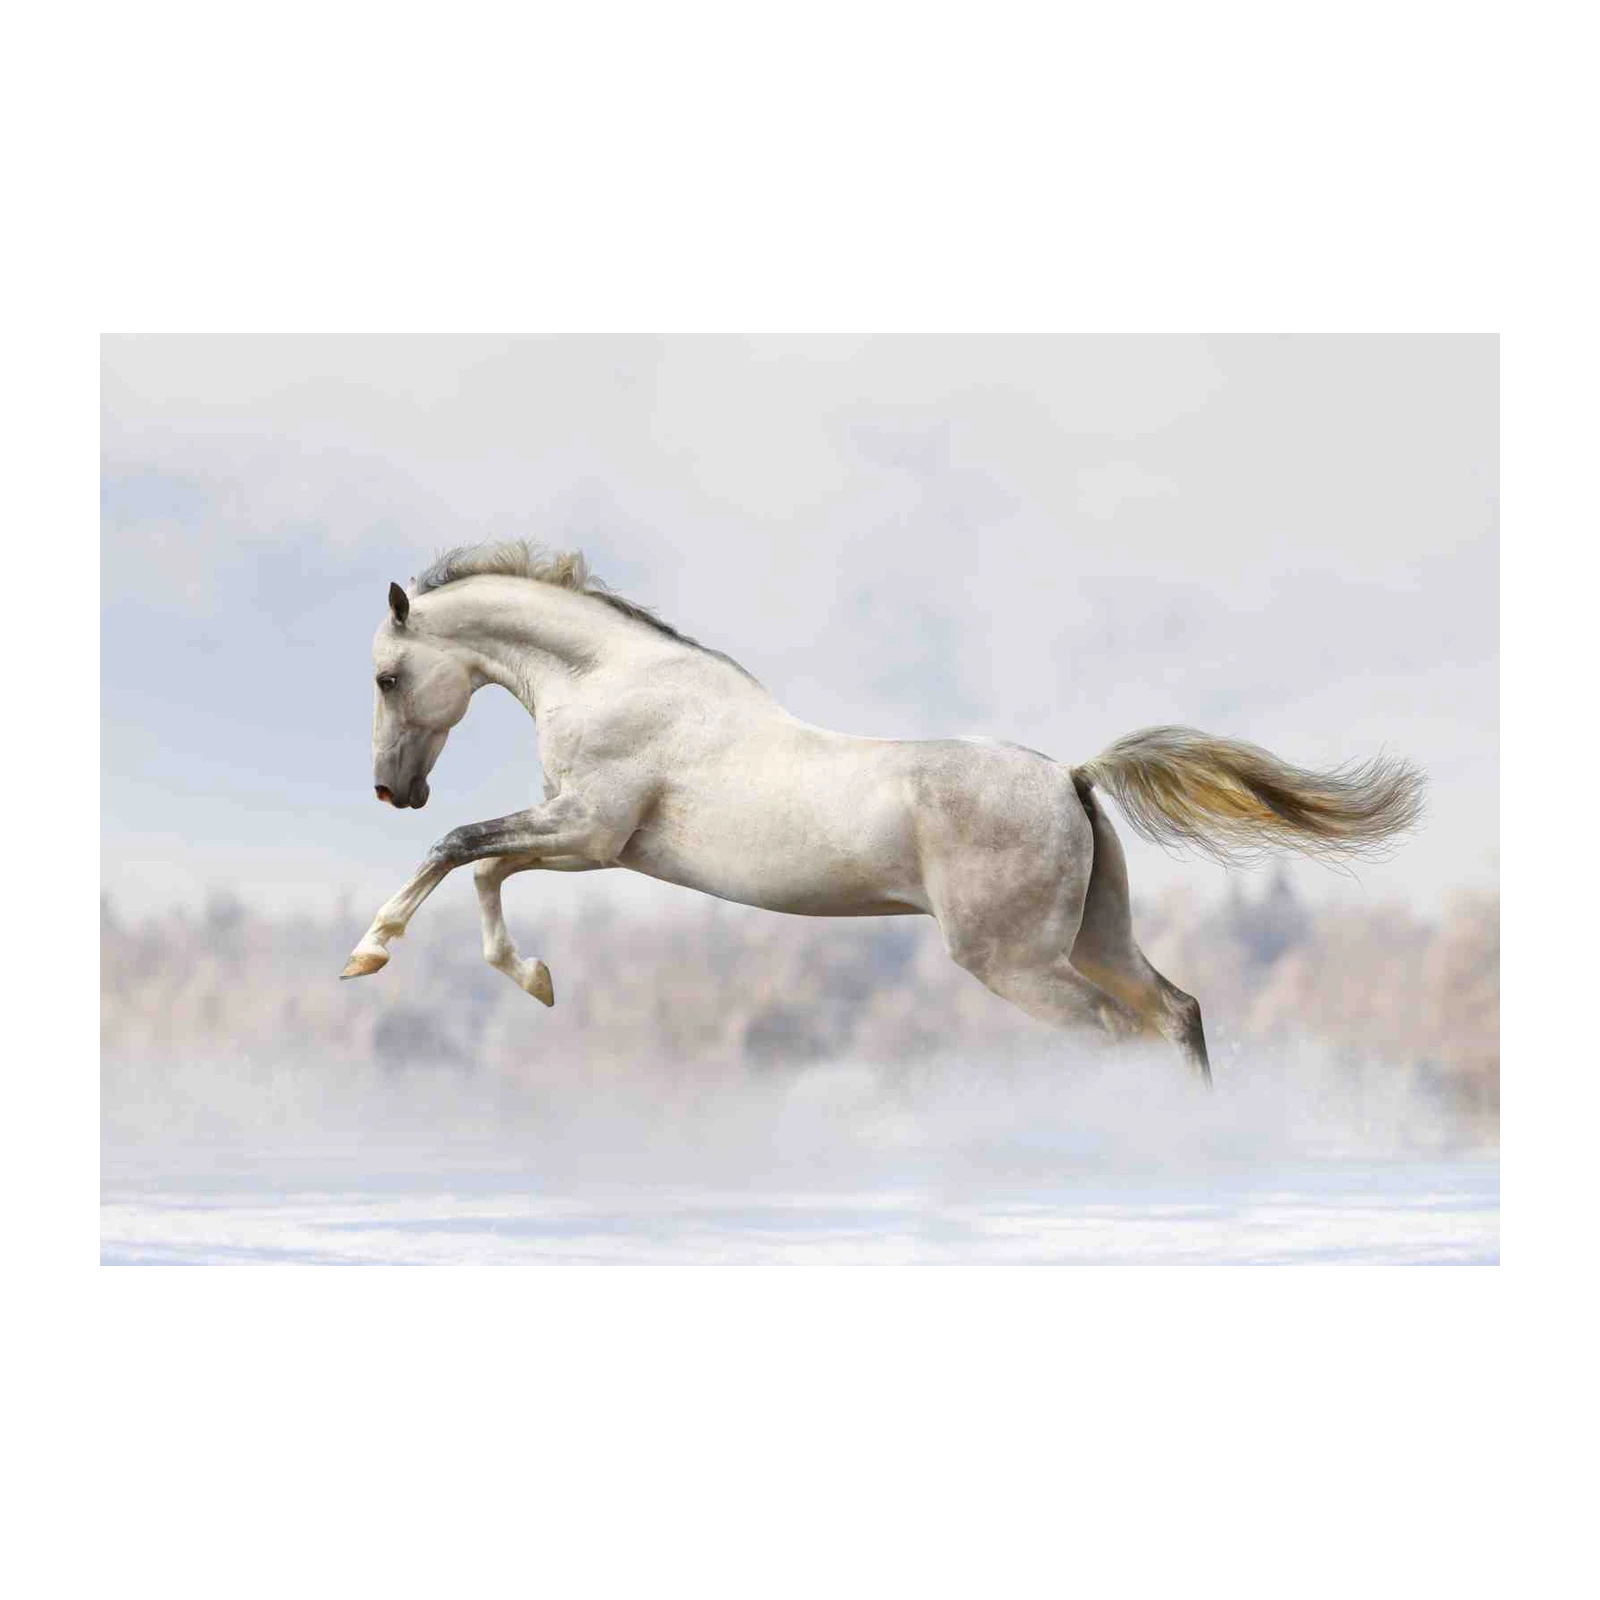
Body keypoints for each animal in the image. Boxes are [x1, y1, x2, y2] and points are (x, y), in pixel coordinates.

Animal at [341, 542, 1425, 1083]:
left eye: (389, 676)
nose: (393, 788)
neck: (612, 678)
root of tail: (1072, 777)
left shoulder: (589, 830)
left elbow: (459, 848)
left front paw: (368, 954)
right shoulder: (586, 840)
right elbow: (485, 867)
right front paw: (536, 981)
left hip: (1015, 962)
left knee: (1117, 1033)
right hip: (1095, 937)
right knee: (1174, 1013)